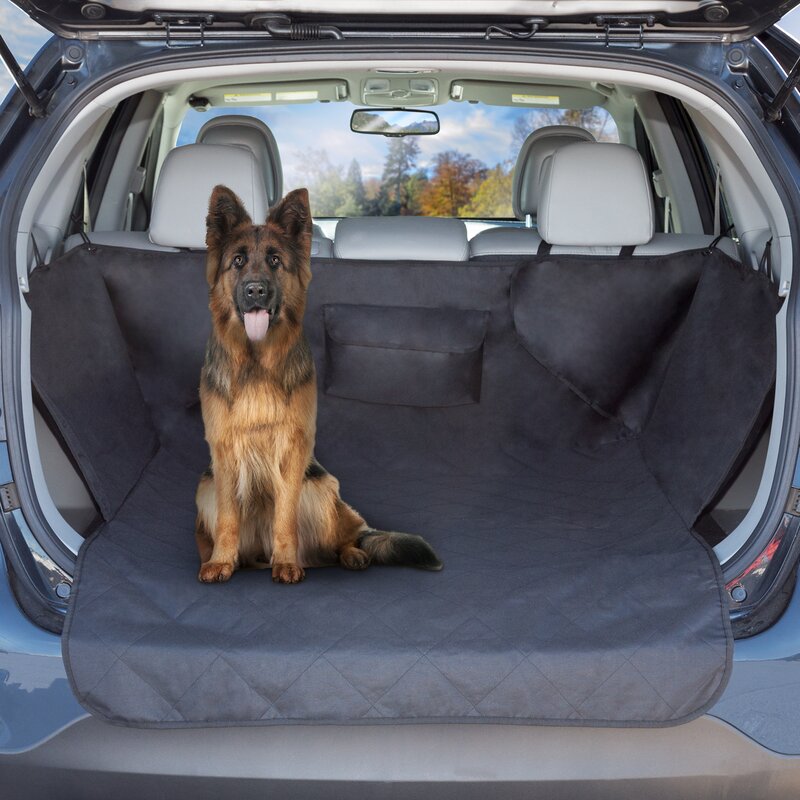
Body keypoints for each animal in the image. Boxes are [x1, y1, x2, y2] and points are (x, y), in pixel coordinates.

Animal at [195, 190, 444, 584]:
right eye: (238, 261)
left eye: (275, 260)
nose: (255, 290)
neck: (256, 362)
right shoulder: (223, 450)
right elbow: (228, 517)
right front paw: (221, 560)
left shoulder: (294, 447)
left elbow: (285, 515)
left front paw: (286, 563)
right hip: (204, 488)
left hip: (322, 489)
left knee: (347, 535)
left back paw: (352, 554)